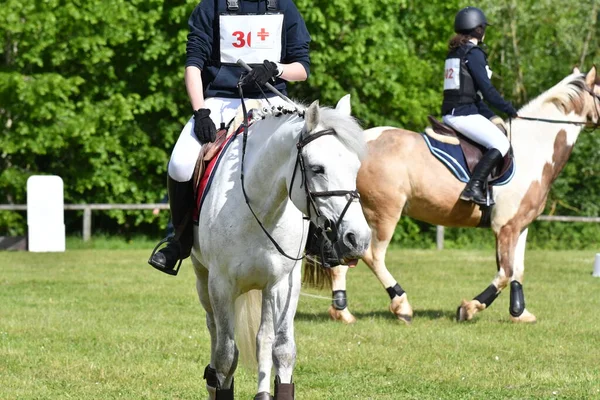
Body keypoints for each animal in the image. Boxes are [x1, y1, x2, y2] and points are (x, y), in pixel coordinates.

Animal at [192, 95, 370, 398]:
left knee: (263, 337)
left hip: (270, 288)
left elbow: (282, 349)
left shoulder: (283, 283)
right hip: (203, 280)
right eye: (317, 169)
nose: (358, 239)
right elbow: (226, 355)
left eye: (355, 168)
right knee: (214, 331)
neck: (258, 208)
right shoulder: (221, 285)